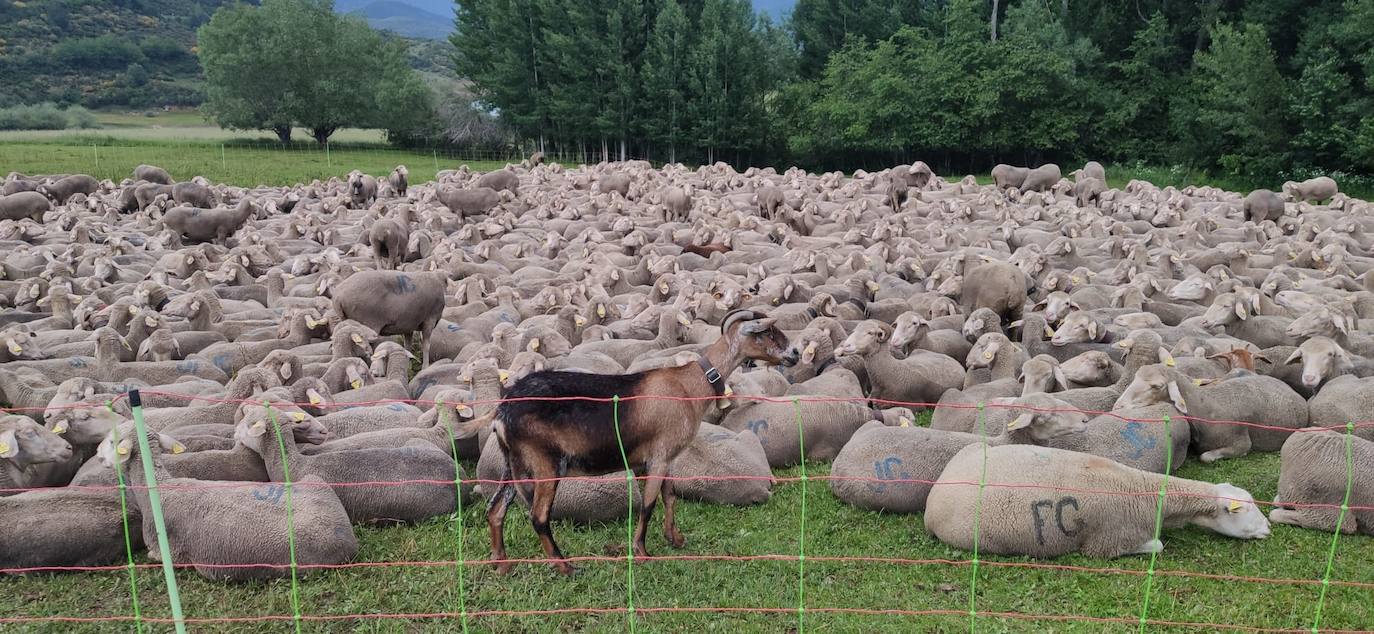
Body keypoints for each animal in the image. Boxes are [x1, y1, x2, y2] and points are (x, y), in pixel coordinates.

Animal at [456, 308, 796, 572]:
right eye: (766, 331)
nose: (793, 353)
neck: (688, 383)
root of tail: (502, 410)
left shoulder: (661, 458)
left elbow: (669, 497)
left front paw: (675, 539)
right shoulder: (658, 457)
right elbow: (648, 504)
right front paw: (642, 551)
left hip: (512, 463)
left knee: (496, 510)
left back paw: (501, 564)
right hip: (545, 464)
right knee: (538, 517)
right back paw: (566, 567)